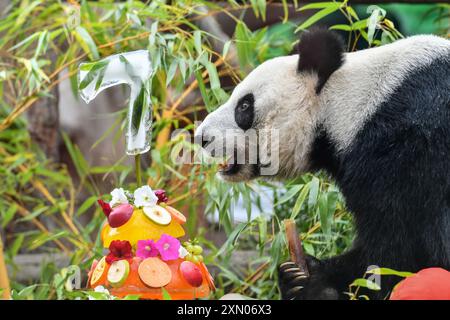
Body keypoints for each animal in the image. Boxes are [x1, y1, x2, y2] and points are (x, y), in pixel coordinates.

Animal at [196, 28, 450, 300]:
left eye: (244, 105)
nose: (201, 137)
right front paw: (295, 275)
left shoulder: (403, 151)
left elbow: (395, 253)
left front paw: (316, 283)